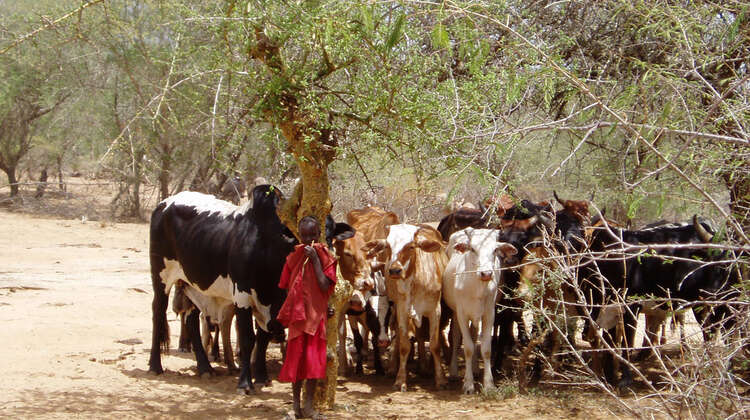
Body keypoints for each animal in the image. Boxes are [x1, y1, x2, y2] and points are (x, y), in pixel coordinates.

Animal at [147, 185, 355, 393]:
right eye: (301, 234)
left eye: (331, 235)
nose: (327, 257)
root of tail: (163, 204)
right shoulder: (242, 296)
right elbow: (248, 339)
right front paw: (245, 383)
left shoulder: (272, 304)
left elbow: (262, 339)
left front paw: (261, 377)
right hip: (161, 276)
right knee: (158, 312)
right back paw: (155, 365)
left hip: (192, 285)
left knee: (191, 321)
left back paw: (205, 368)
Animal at [363, 224, 448, 391]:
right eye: (388, 246)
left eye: (411, 246)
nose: (395, 270)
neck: (416, 282)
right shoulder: (402, 310)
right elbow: (403, 346)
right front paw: (400, 380)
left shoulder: (435, 311)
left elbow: (434, 345)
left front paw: (440, 379)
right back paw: (394, 368)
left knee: (421, 337)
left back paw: (424, 368)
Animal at [442, 228, 517, 393]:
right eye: (472, 249)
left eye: (495, 250)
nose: (486, 274)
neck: (476, 288)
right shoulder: (462, 314)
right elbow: (468, 347)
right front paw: (468, 384)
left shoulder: (489, 314)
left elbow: (486, 348)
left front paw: (488, 384)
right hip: (456, 313)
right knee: (456, 337)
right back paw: (454, 371)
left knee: (473, 334)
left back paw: (476, 369)